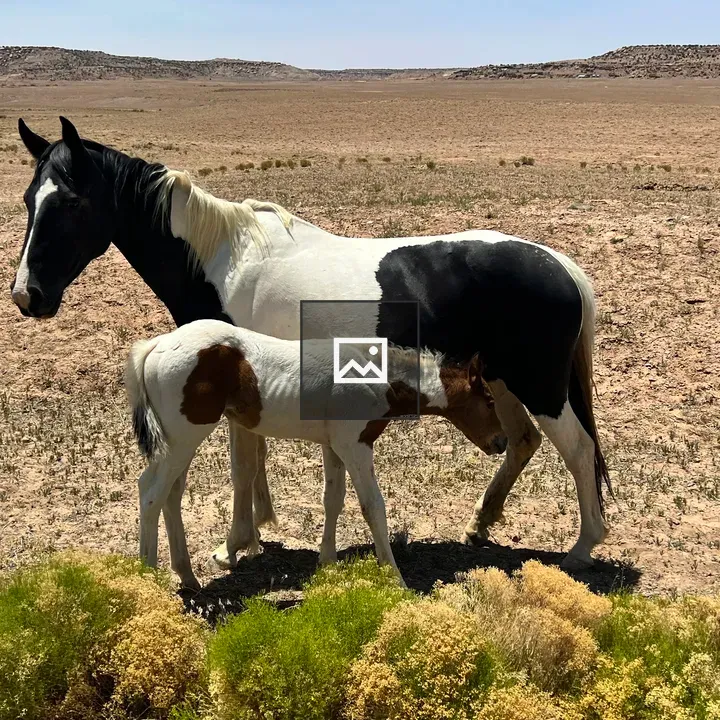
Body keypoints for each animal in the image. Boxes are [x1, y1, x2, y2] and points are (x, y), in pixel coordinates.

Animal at [125, 319, 504, 589]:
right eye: (488, 400)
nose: (500, 442)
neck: (374, 379)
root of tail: (156, 345)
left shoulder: (333, 446)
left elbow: (333, 499)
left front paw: (328, 562)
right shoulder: (356, 446)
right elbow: (373, 507)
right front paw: (396, 578)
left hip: (178, 442)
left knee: (171, 495)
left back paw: (187, 576)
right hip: (184, 437)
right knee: (151, 493)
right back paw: (147, 577)